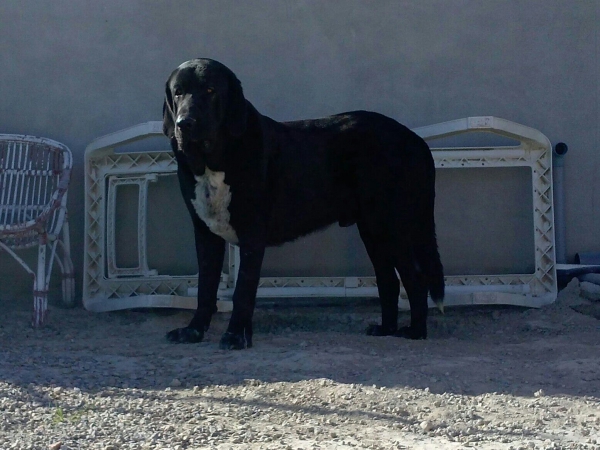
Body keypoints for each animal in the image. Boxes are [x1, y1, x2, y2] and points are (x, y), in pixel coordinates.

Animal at [162, 58, 442, 350]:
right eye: (178, 93)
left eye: (210, 90)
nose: (185, 123)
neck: (214, 161)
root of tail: (415, 140)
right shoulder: (205, 233)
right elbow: (205, 288)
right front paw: (193, 331)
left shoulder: (252, 234)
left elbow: (243, 291)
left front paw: (236, 335)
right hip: (373, 231)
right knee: (388, 280)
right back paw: (386, 329)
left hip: (392, 226)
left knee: (416, 279)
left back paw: (416, 331)